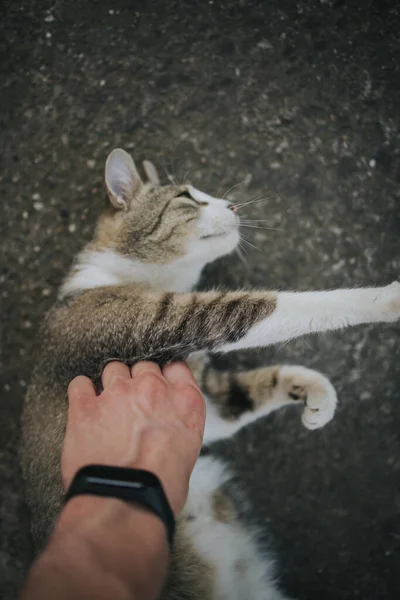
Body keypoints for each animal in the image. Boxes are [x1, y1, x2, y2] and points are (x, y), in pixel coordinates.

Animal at [21, 146, 400, 600]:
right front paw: (384, 299)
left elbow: (234, 400)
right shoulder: (169, 321)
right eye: (187, 197)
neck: (124, 273)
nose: (233, 205)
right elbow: (281, 306)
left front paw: (314, 392)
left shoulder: (200, 396)